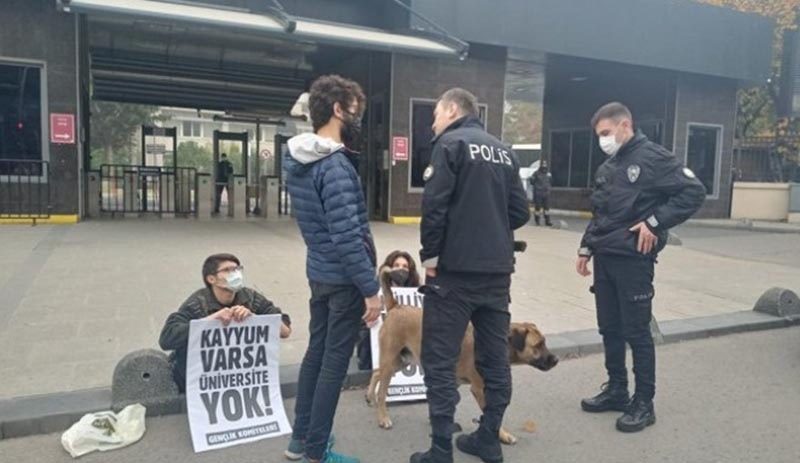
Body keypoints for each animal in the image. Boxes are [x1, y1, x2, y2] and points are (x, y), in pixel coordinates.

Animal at [368, 268, 560, 446]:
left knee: (376, 372)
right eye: (538, 345)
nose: (556, 360)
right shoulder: (479, 389)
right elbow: (491, 416)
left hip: (402, 360)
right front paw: (502, 435)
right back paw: (382, 416)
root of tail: (396, 306)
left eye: (544, 342)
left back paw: (370, 397)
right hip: (391, 359)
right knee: (382, 391)